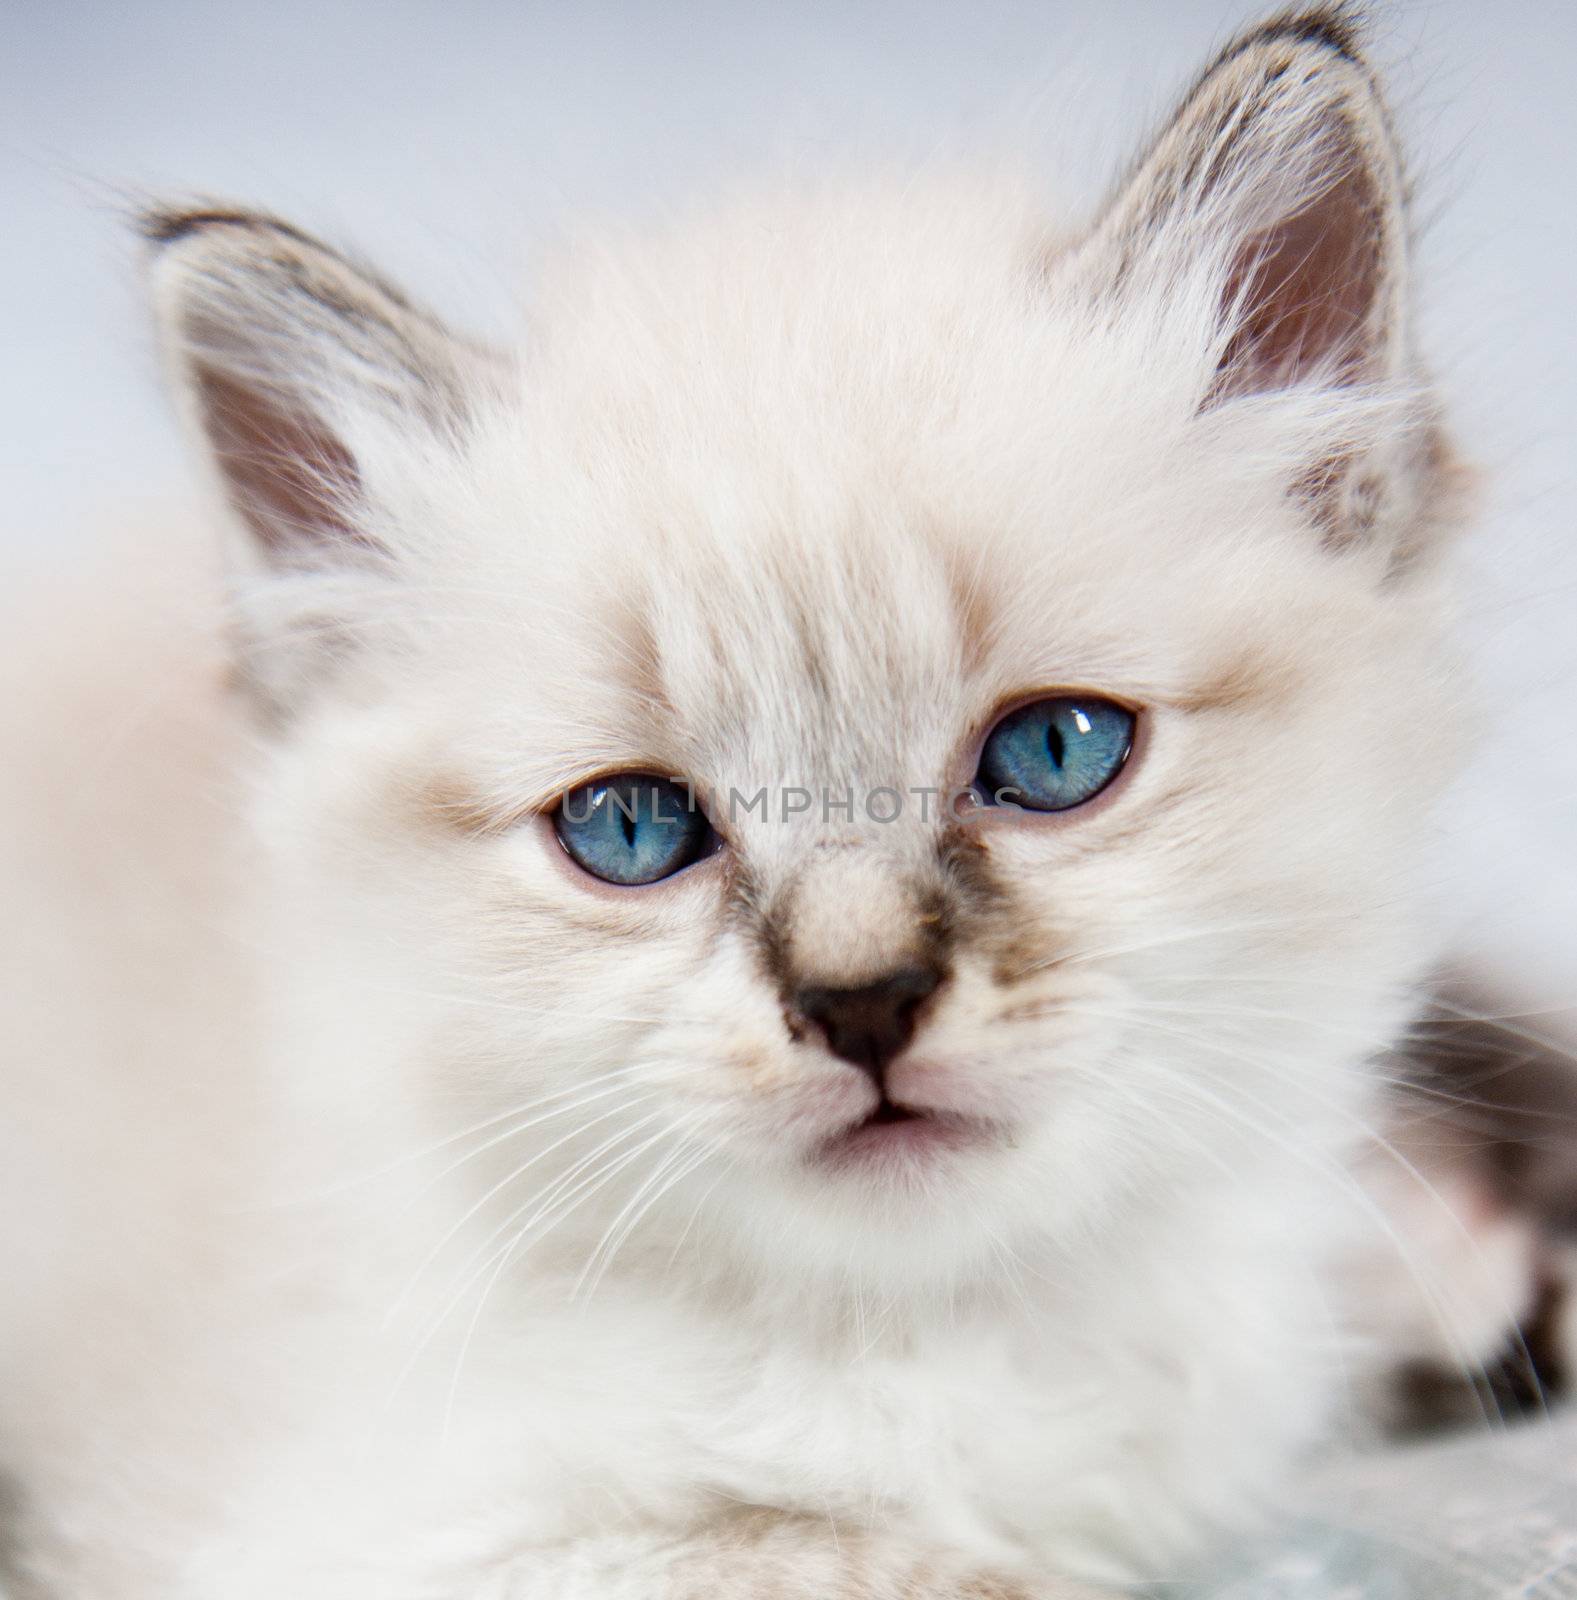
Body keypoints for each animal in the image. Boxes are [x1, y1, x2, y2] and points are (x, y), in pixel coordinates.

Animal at [0, 12, 1522, 1600]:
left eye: (1055, 755)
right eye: (629, 830)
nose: (862, 1004)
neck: (919, 1338)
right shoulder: (395, 1537)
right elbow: (882, 1559)